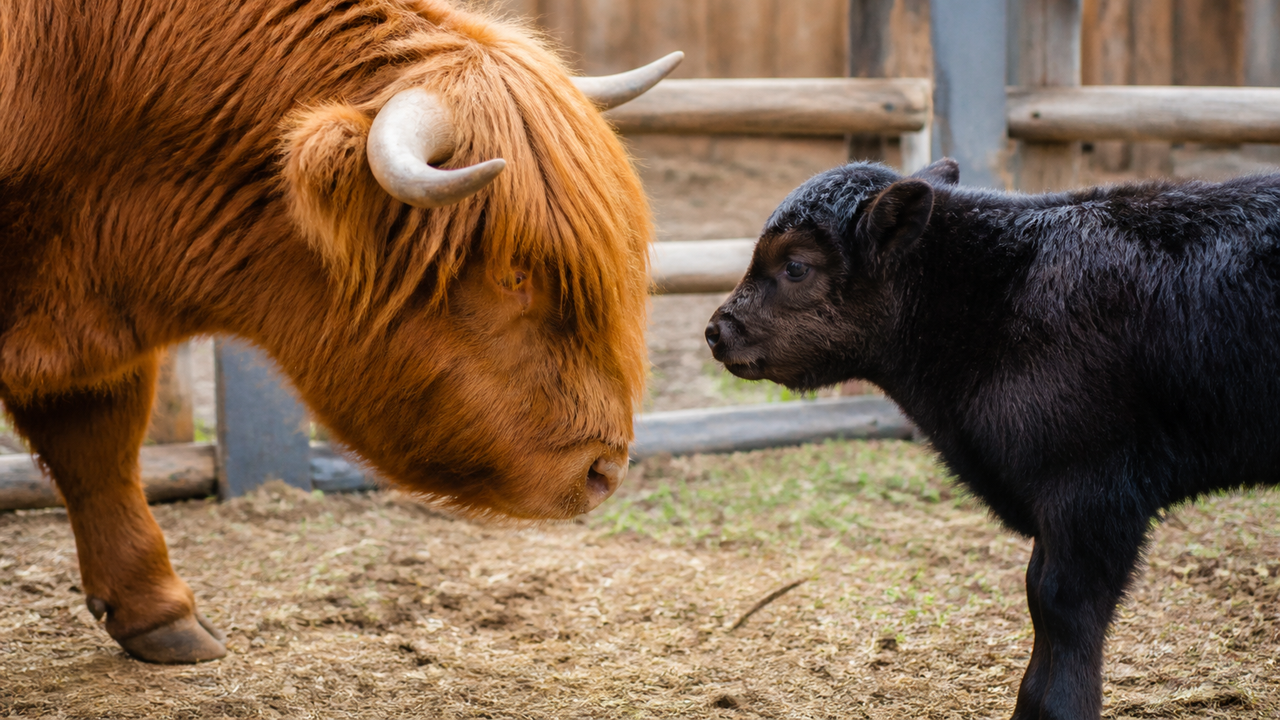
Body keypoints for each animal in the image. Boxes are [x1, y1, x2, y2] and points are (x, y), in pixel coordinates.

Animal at [705, 159, 1280, 720]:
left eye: (795, 265)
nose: (716, 330)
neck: (990, 291)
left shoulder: (1093, 493)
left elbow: (1063, 606)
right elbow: (1036, 595)